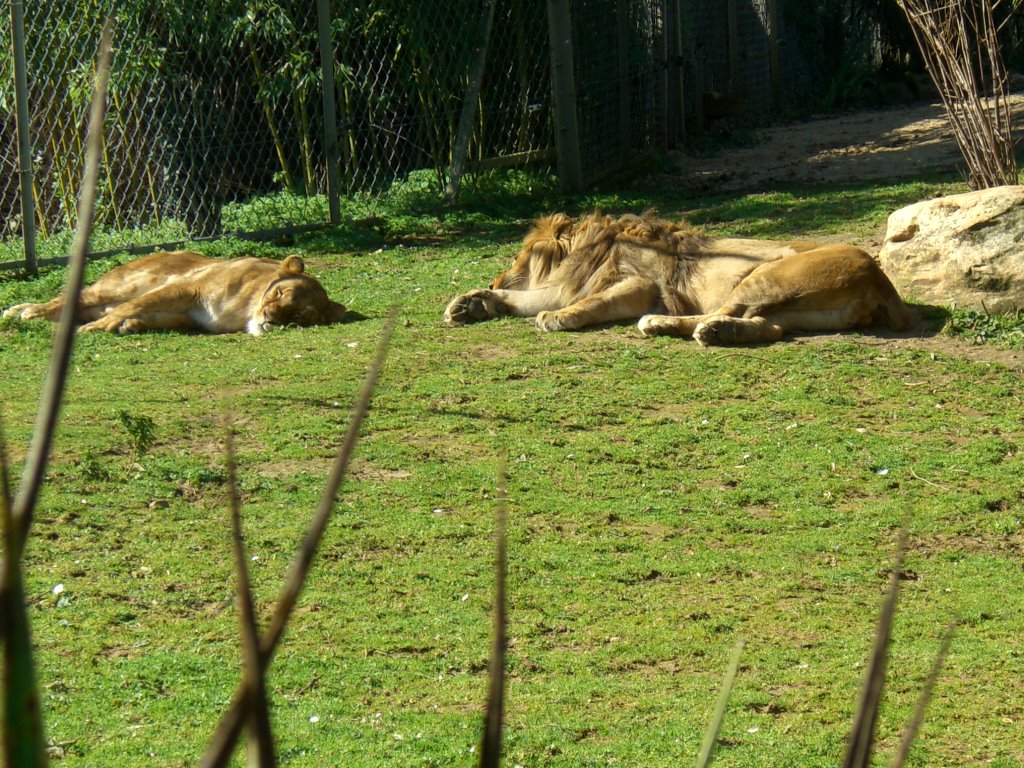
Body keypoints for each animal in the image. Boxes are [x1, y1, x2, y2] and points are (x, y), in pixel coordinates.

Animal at [446, 208, 913, 344]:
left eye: (518, 257)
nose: (494, 282)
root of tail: (880, 279)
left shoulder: (642, 285)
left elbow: (588, 302)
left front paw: (558, 318)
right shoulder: (566, 285)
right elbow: (533, 299)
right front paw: (473, 304)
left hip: (766, 276)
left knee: (720, 312)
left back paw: (664, 324)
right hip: (797, 308)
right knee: (770, 327)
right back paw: (721, 332)